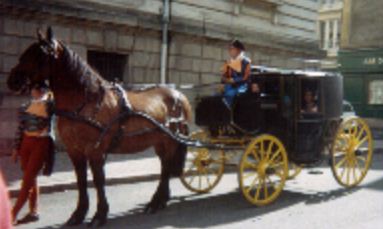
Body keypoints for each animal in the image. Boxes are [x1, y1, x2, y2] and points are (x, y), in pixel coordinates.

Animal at [6, 27, 191, 226]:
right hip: (160, 142)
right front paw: (78, 214)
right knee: (165, 166)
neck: (85, 101)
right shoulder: (75, 151)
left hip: (169, 141)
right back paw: (161, 199)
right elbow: (81, 180)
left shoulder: (95, 150)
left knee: (166, 168)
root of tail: (178, 94)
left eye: (39, 54)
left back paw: (156, 202)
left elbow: (98, 180)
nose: (12, 80)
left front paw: (100, 214)